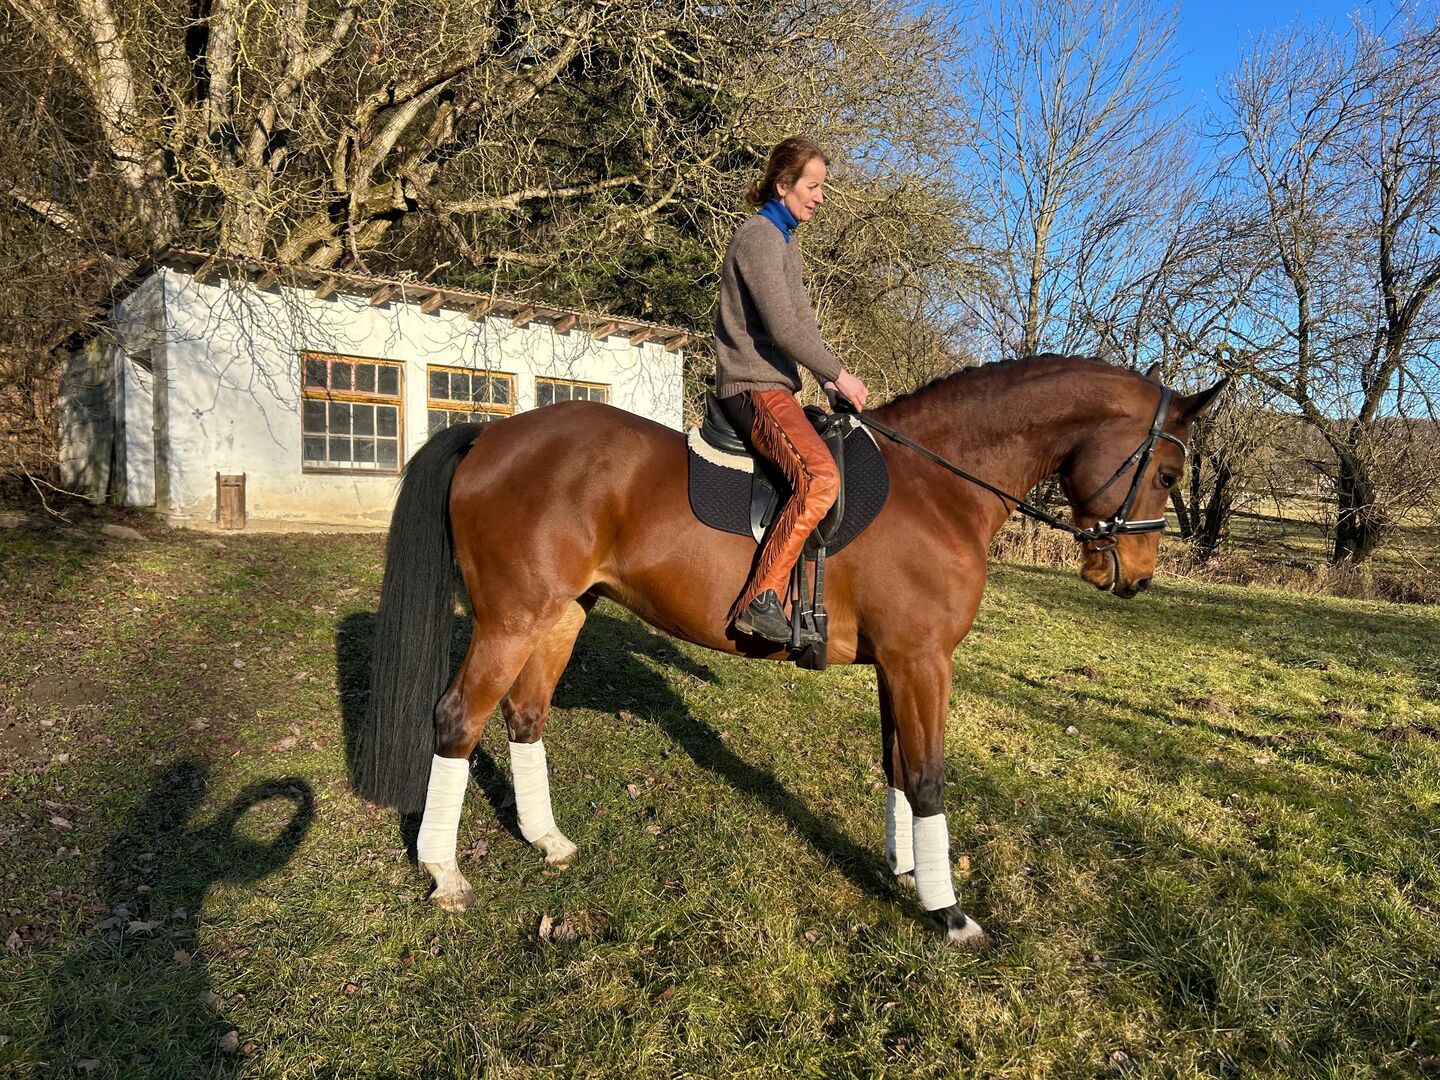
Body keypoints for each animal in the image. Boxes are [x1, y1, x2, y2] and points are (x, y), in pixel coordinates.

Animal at [352, 354, 1226, 947]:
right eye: (1169, 470)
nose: (1135, 577)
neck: (939, 484)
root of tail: (493, 435)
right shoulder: (922, 662)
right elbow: (929, 776)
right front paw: (948, 910)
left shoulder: (899, 665)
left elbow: (896, 768)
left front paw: (905, 871)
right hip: (511, 619)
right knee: (457, 721)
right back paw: (444, 872)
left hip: (561, 616)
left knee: (525, 718)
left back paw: (546, 840)